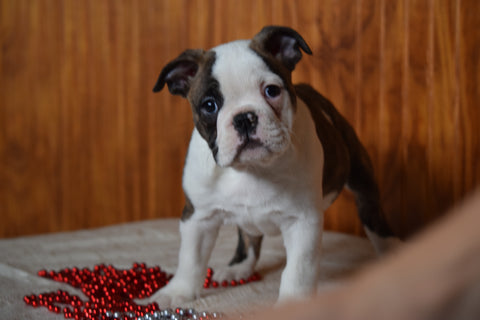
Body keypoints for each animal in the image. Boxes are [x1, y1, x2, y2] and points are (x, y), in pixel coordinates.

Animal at [150, 26, 398, 306]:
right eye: (209, 105)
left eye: (271, 91)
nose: (244, 118)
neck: (252, 170)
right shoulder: (198, 217)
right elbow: (190, 259)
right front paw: (177, 292)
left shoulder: (302, 221)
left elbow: (298, 270)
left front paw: (293, 304)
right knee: (249, 237)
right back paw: (238, 267)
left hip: (362, 181)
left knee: (374, 221)